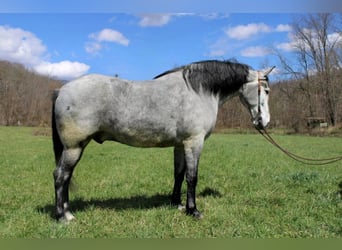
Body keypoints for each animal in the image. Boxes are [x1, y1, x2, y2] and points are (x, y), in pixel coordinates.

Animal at [52, 60, 274, 221]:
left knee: (65, 176)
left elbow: (179, 174)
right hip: (74, 147)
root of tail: (61, 90)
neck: (198, 92)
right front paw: (193, 211)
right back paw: (64, 216)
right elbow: (192, 177)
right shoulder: (194, 143)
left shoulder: (180, 145)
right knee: (61, 176)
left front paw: (177, 204)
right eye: (266, 91)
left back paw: (66, 211)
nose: (264, 121)